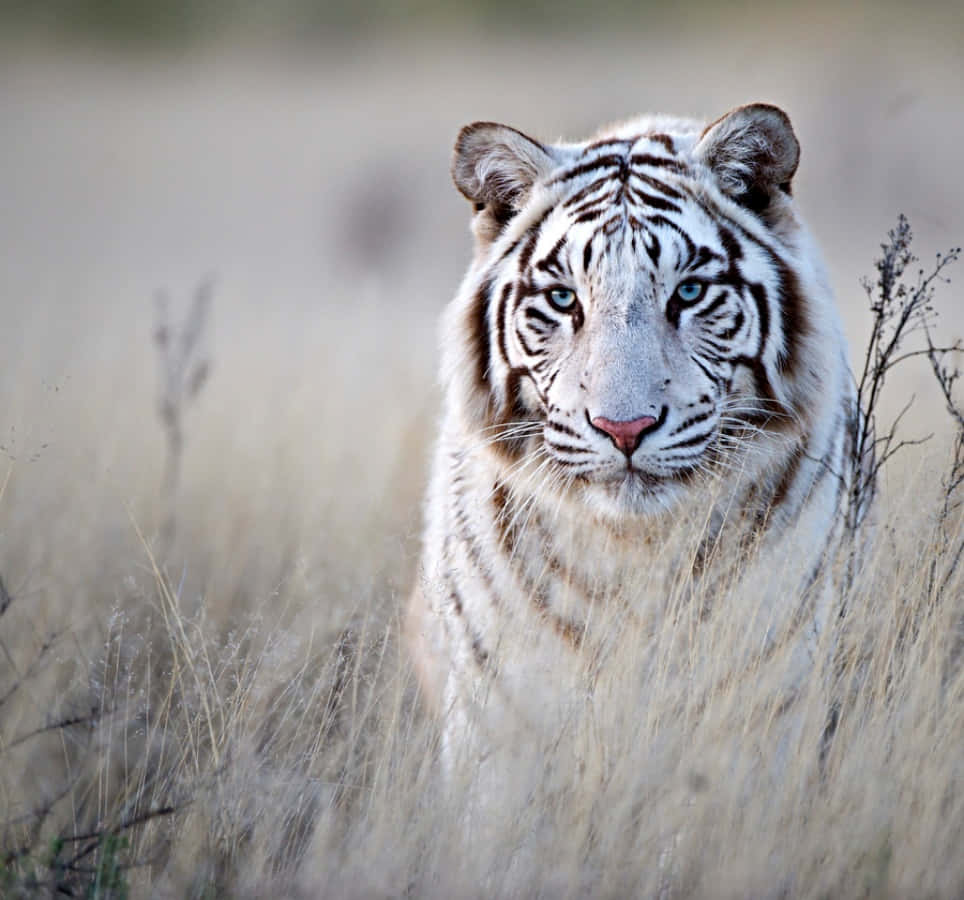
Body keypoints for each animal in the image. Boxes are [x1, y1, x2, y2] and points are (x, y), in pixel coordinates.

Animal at [406, 105, 868, 816]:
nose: (624, 429)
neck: (636, 554)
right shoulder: (503, 729)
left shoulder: (761, 714)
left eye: (691, 292)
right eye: (564, 300)